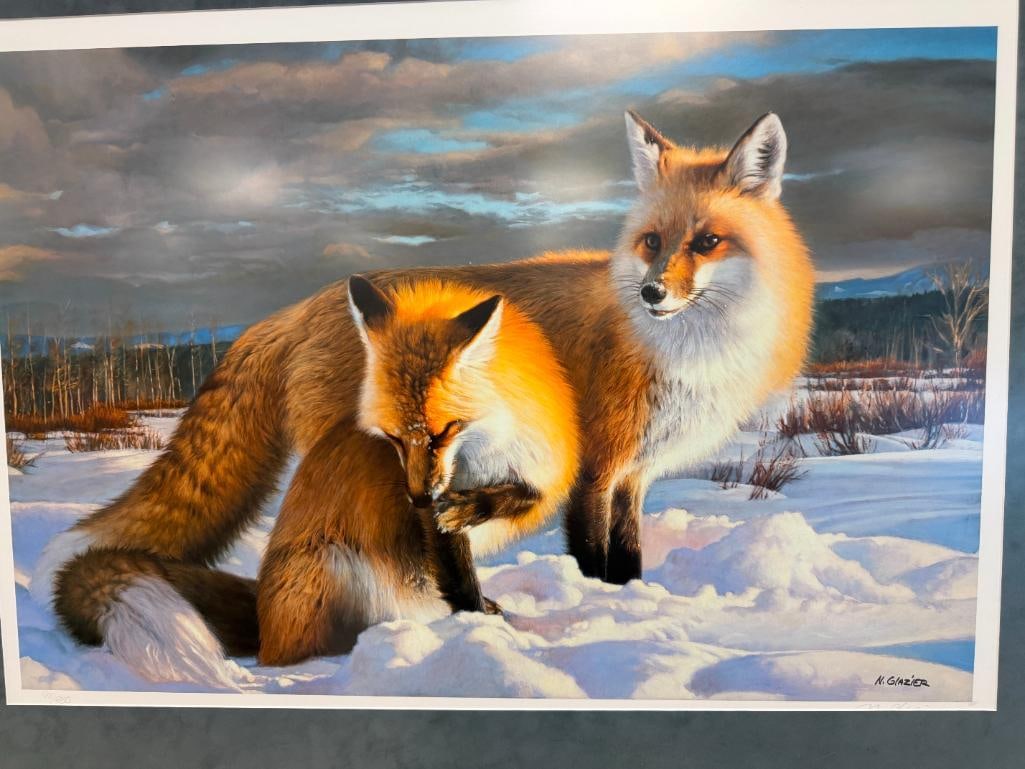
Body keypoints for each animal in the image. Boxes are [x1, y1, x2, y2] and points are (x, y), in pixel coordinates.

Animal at [256, 278, 579, 665]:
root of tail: (264, 640)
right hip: (333, 565)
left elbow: (526, 495)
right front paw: (479, 624)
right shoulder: (432, 522)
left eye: (442, 433)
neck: (490, 450)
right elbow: (459, 577)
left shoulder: (537, 469)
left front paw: (472, 508)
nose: (420, 497)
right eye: (394, 437)